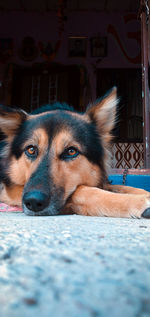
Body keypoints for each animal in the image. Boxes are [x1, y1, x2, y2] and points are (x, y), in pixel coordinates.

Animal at [0, 87, 149, 218]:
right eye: (31, 149)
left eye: (71, 151)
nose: (33, 201)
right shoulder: (11, 189)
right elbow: (82, 190)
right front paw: (138, 202)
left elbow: (123, 187)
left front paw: (144, 193)